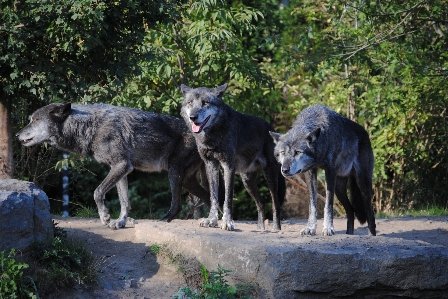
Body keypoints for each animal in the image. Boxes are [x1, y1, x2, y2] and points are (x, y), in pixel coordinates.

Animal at [16, 103, 213, 230]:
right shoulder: (122, 170)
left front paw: (105, 216)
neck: (90, 126)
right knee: (208, 197)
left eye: (35, 120)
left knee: (178, 204)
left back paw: (163, 221)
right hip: (187, 181)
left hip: (174, 173)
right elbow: (124, 201)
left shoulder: (121, 165)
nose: (17, 134)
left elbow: (97, 192)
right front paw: (120, 222)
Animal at [180, 84, 286, 232]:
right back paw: (260, 228)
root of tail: (271, 128)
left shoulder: (228, 166)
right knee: (261, 203)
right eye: (190, 102)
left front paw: (227, 223)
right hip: (247, 181)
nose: (193, 117)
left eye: (205, 103)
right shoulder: (211, 165)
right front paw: (211, 220)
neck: (214, 135)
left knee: (275, 203)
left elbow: (228, 198)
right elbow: (213, 197)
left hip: (270, 176)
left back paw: (276, 228)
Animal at [272, 105, 376, 237]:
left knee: (370, 212)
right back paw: (349, 234)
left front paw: (328, 228)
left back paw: (371, 234)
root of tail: (365, 133)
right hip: (339, 189)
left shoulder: (330, 171)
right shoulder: (310, 172)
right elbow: (312, 205)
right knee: (351, 210)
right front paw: (310, 228)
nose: (285, 170)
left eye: (298, 152)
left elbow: (328, 204)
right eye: (283, 152)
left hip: (362, 184)